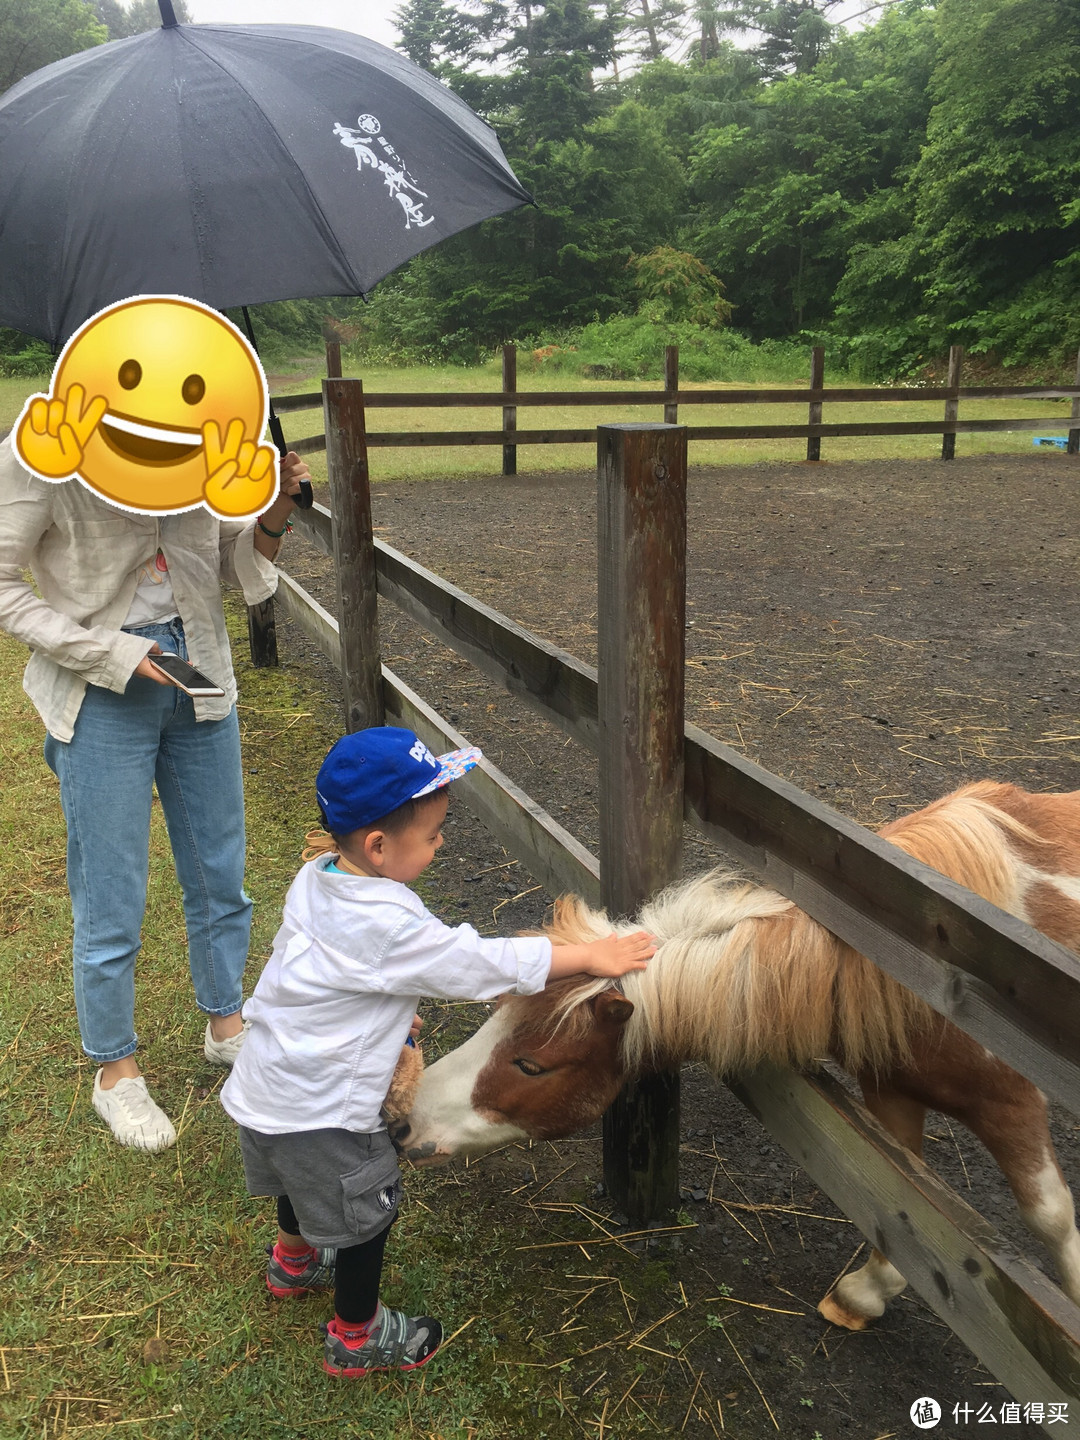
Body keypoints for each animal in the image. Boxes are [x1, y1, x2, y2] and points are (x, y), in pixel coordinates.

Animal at [394, 783, 1080, 1330]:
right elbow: (904, 1213)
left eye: (532, 1065)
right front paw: (864, 1294)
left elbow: (1049, 1216)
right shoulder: (891, 1092)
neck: (914, 980)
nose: (404, 1122)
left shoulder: (1010, 1098)